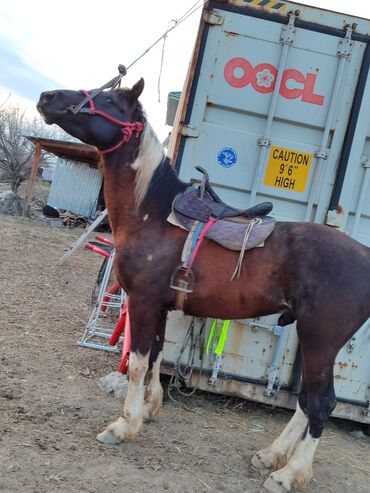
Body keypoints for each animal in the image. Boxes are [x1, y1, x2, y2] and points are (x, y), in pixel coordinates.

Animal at [36, 79, 370, 490]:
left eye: (110, 99)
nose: (47, 97)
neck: (150, 215)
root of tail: (364, 256)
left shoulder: (143, 302)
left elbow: (137, 364)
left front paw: (123, 426)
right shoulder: (161, 307)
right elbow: (156, 357)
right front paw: (149, 409)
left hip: (320, 340)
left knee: (321, 404)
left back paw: (288, 473)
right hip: (312, 341)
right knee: (306, 402)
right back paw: (271, 455)